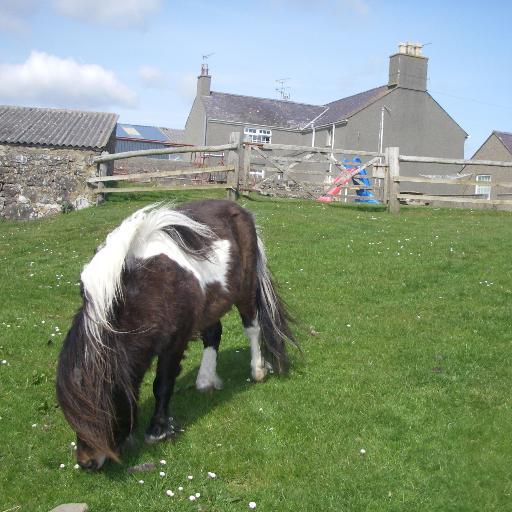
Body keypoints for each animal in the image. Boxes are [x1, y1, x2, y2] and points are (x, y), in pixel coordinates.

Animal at [55, 199, 296, 468]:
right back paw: (205, 380)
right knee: (213, 333)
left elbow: (162, 383)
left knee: (252, 328)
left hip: (245, 287)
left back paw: (258, 370)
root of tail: (239, 209)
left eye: (100, 407)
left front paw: (157, 430)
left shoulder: (175, 341)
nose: (85, 462)